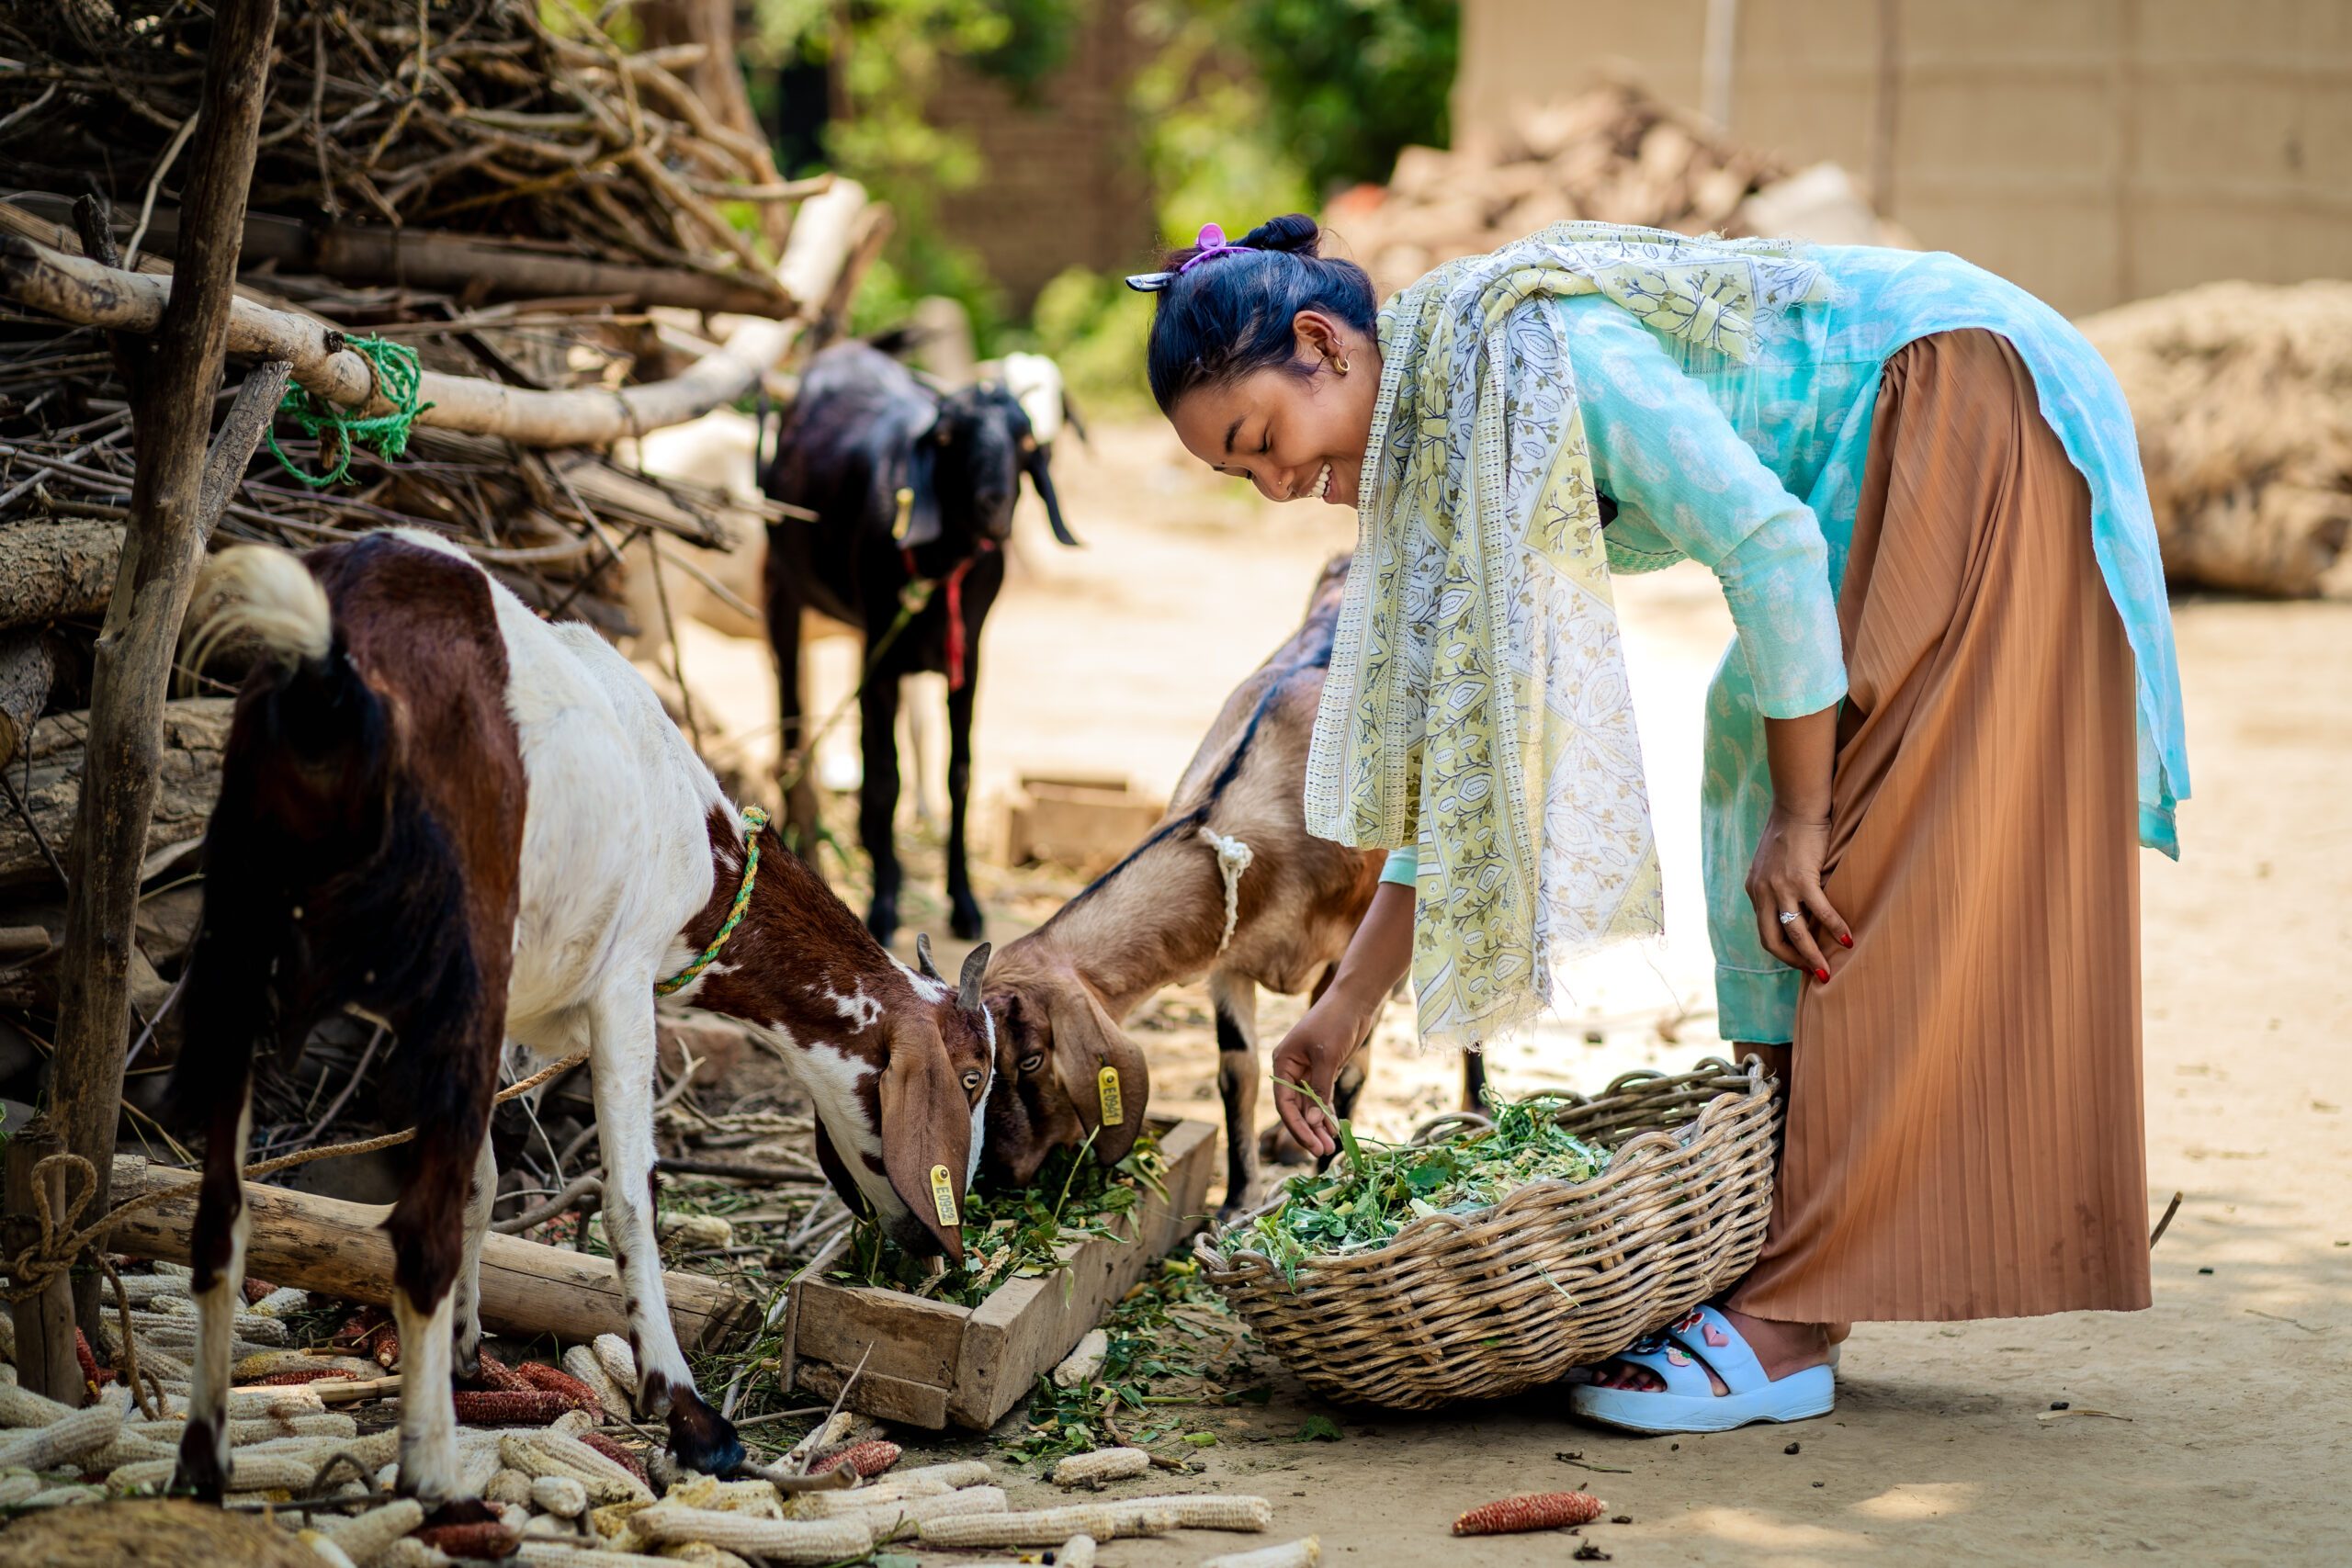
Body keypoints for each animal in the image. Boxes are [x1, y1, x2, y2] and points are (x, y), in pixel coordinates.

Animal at [170, 536, 997, 1504]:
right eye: (971, 1077)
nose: (937, 1233)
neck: (700, 844)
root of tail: (330, 677)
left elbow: (487, 1180)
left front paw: (468, 1353)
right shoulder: (623, 985)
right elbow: (630, 1195)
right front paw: (687, 1414)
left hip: (241, 936)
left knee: (221, 1214)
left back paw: (205, 1462)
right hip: (455, 963)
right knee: (415, 1230)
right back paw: (432, 1475)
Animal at [762, 341, 1077, 944]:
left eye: (1025, 442)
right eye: (950, 438)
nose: (994, 506)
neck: (939, 562)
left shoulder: (969, 656)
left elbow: (960, 773)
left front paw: (964, 902)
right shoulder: (881, 649)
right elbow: (886, 778)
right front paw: (883, 903)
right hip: (784, 588)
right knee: (792, 713)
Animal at [988, 557, 1486, 1222]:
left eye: (1032, 1057)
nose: (1003, 1175)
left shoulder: (1355, 943)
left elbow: (1343, 1070)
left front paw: (1332, 1183)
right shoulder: (1227, 956)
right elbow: (1238, 1074)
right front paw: (1236, 1202)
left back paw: (1478, 1109)